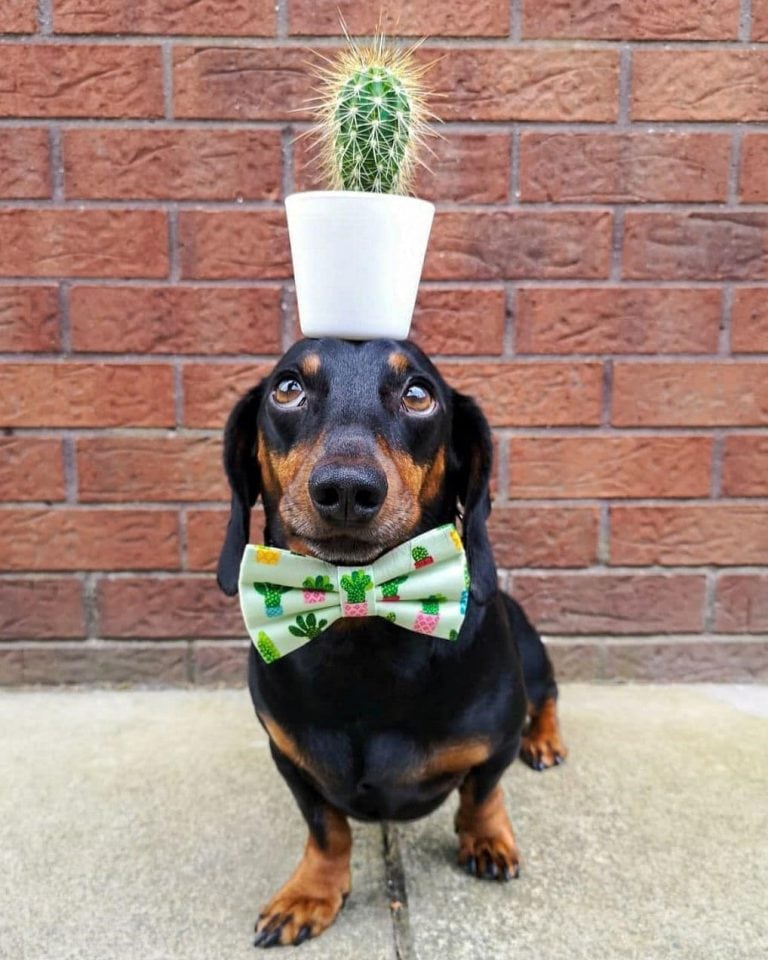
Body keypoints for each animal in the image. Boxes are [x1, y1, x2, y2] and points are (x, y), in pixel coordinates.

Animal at [214, 338, 564, 944]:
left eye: (418, 394)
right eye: (288, 388)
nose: (346, 489)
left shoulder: (495, 744)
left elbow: (481, 792)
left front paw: (487, 839)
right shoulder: (289, 760)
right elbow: (327, 829)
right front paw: (310, 894)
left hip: (534, 658)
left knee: (547, 700)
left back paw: (544, 742)